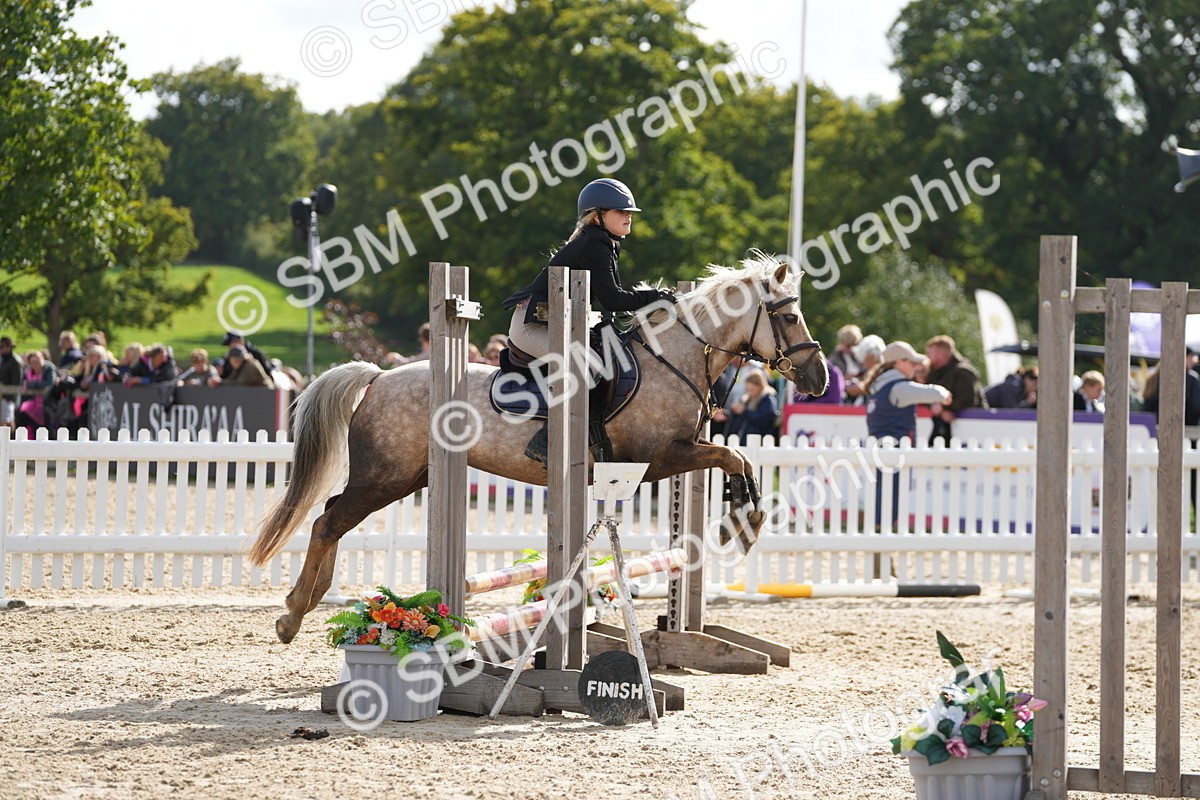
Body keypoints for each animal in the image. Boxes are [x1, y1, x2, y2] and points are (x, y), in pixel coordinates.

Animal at [250, 255, 828, 643]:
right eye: (789, 316)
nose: (819, 378)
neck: (676, 358)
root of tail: (377, 377)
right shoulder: (659, 458)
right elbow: (733, 457)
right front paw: (745, 522)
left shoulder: (677, 453)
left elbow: (739, 458)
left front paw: (744, 515)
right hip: (384, 476)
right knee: (328, 520)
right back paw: (292, 615)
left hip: (403, 477)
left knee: (331, 516)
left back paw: (308, 600)